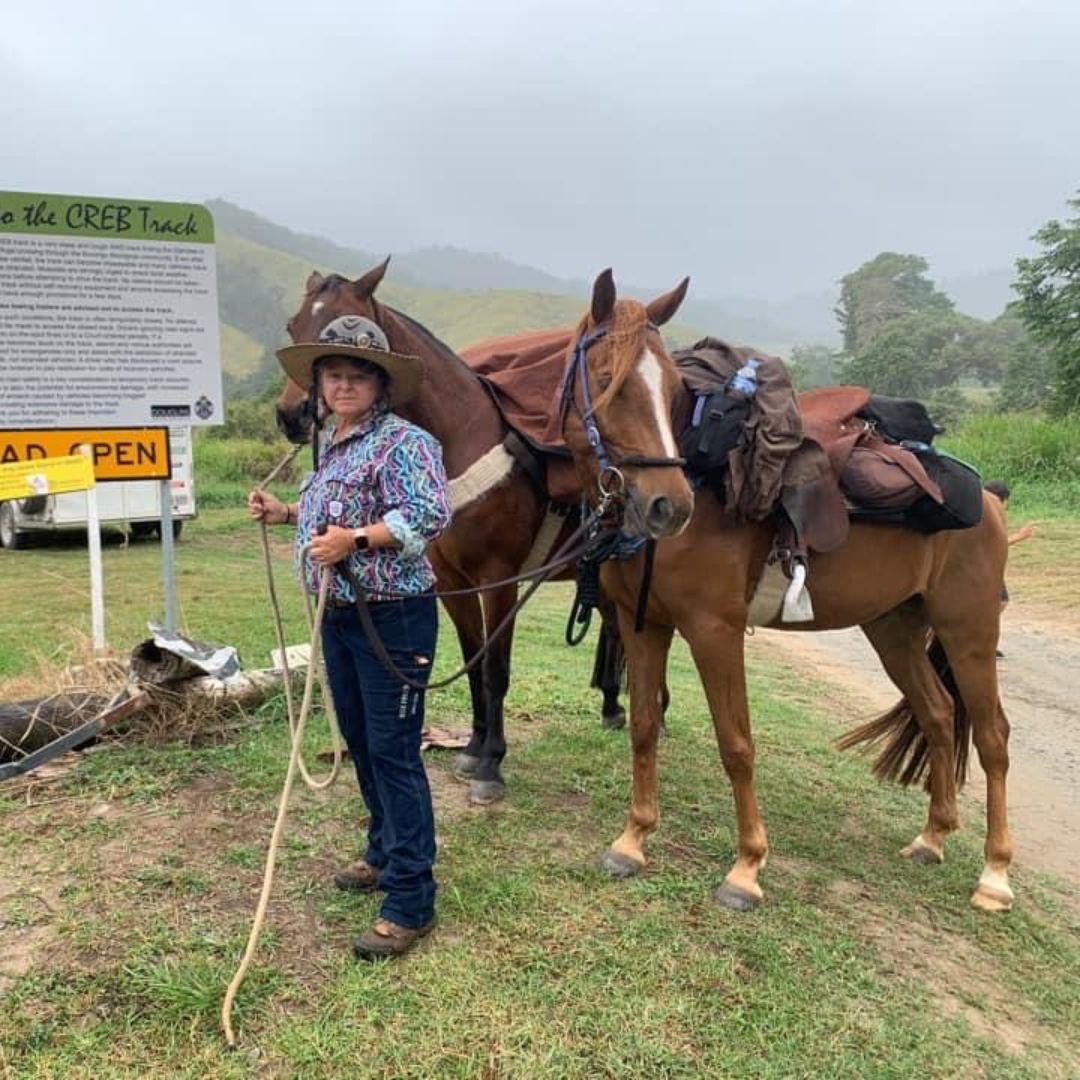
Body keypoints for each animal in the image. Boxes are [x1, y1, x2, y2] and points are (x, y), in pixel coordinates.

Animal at [274, 259, 686, 803]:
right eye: (292, 326)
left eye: (673, 389)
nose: (291, 414)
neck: (457, 444)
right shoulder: (453, 582)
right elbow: (472, 660)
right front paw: (473, 747)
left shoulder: (499, 581)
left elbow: (495, 669)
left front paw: (492, 763)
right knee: (615, 627)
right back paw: (614, 707)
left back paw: (652, 711)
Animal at [557, 267, 1010, 911]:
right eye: (605, 383)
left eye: (669, 387)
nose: (670, 507)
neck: (708, 477)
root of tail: (989, 501)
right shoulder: (643, 622)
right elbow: (643, 727)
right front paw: (632, 841)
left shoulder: (714, 630)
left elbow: (737, 744)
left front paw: (746, 868)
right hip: (895, 628)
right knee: (940, 714)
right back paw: (933, 838)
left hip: (967, 631)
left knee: (993, 737)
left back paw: (995, 875)